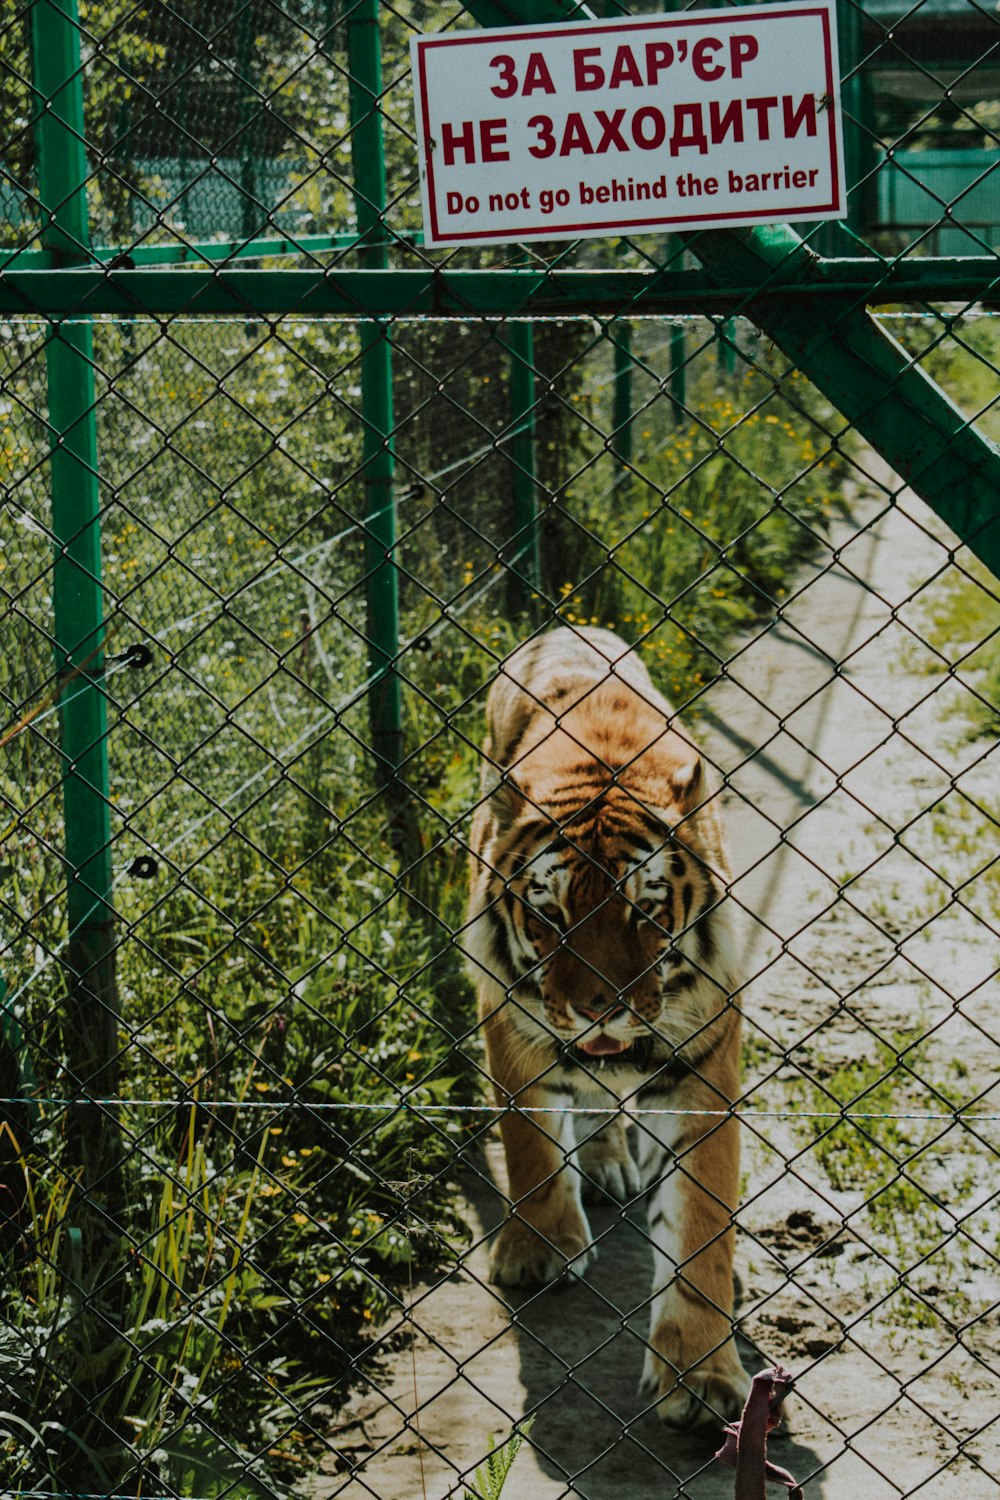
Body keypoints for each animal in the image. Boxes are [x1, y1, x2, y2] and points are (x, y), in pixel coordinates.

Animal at [467, 624, 749, 1428]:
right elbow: (531, 1145)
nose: (602, 1007)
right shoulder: (512, 1024)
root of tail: (566, 625)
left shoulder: (703, 1072)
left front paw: (701, 1376)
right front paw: (538, 1251)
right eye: (550, 914)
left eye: (643, 913)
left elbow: (699, 1224)